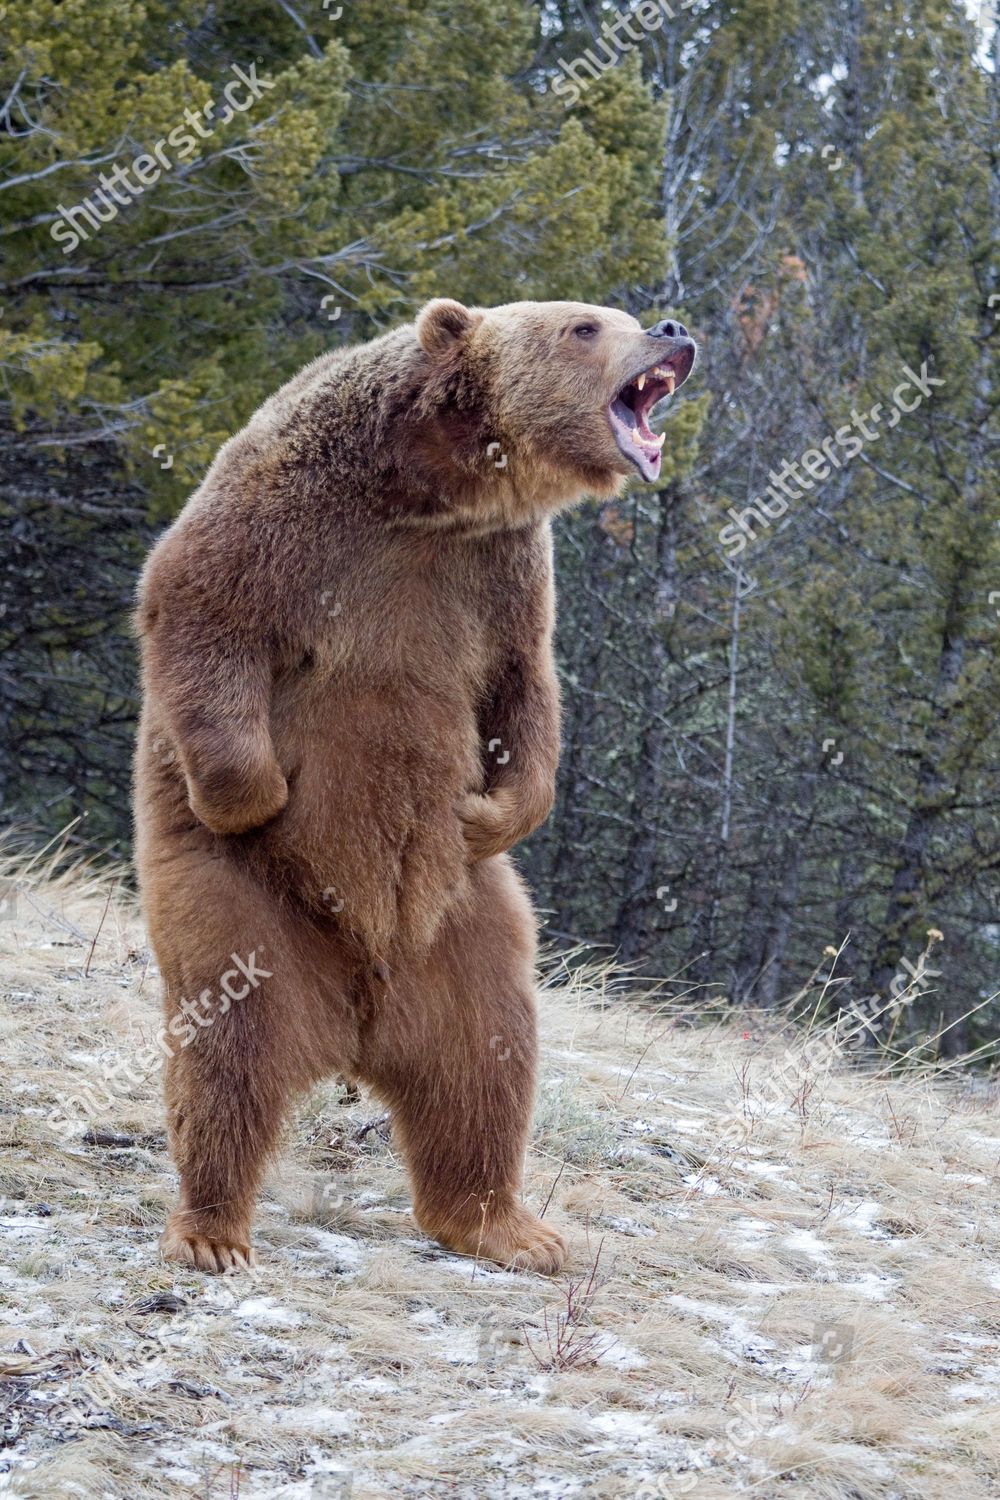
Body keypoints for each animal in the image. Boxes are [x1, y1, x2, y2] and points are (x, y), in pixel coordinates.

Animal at [132, 298, 695, 1272]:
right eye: (585, 325)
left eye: (619, 315)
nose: (671, 327)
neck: (431, 496)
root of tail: (356, 1025)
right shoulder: (292, 514)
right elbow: (201, 605)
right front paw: (253, 789)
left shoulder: (498, 577)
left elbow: (523, 690)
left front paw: (490, 811)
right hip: (244, 906)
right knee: (228, 1056)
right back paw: (211, 1230)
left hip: (466, 928)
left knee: (487, 1065)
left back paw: (510, 1227)